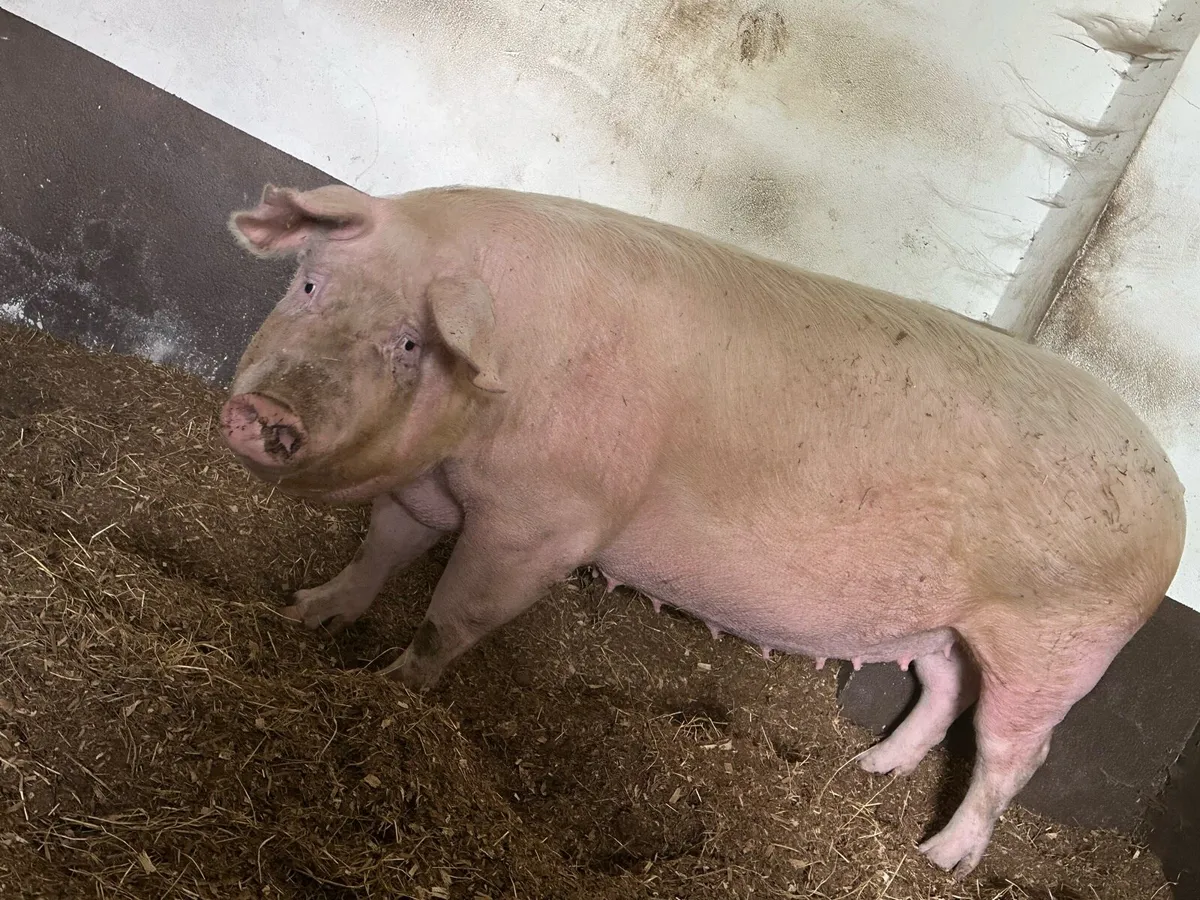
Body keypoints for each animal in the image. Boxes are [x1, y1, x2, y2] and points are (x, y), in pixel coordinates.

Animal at [219, 182, 1186, 876]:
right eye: (308, 284)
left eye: (410, 343)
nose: (263, 414)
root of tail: (1174, 501)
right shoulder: (430, 486)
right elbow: (379, 550)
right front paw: (306, 612)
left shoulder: (543, 521)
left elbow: (451, 616)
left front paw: (391, 685)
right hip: (950, 623)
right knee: (946, 687)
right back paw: (873, 768)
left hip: (1058, 644)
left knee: (1016, 751)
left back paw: (938, 857)